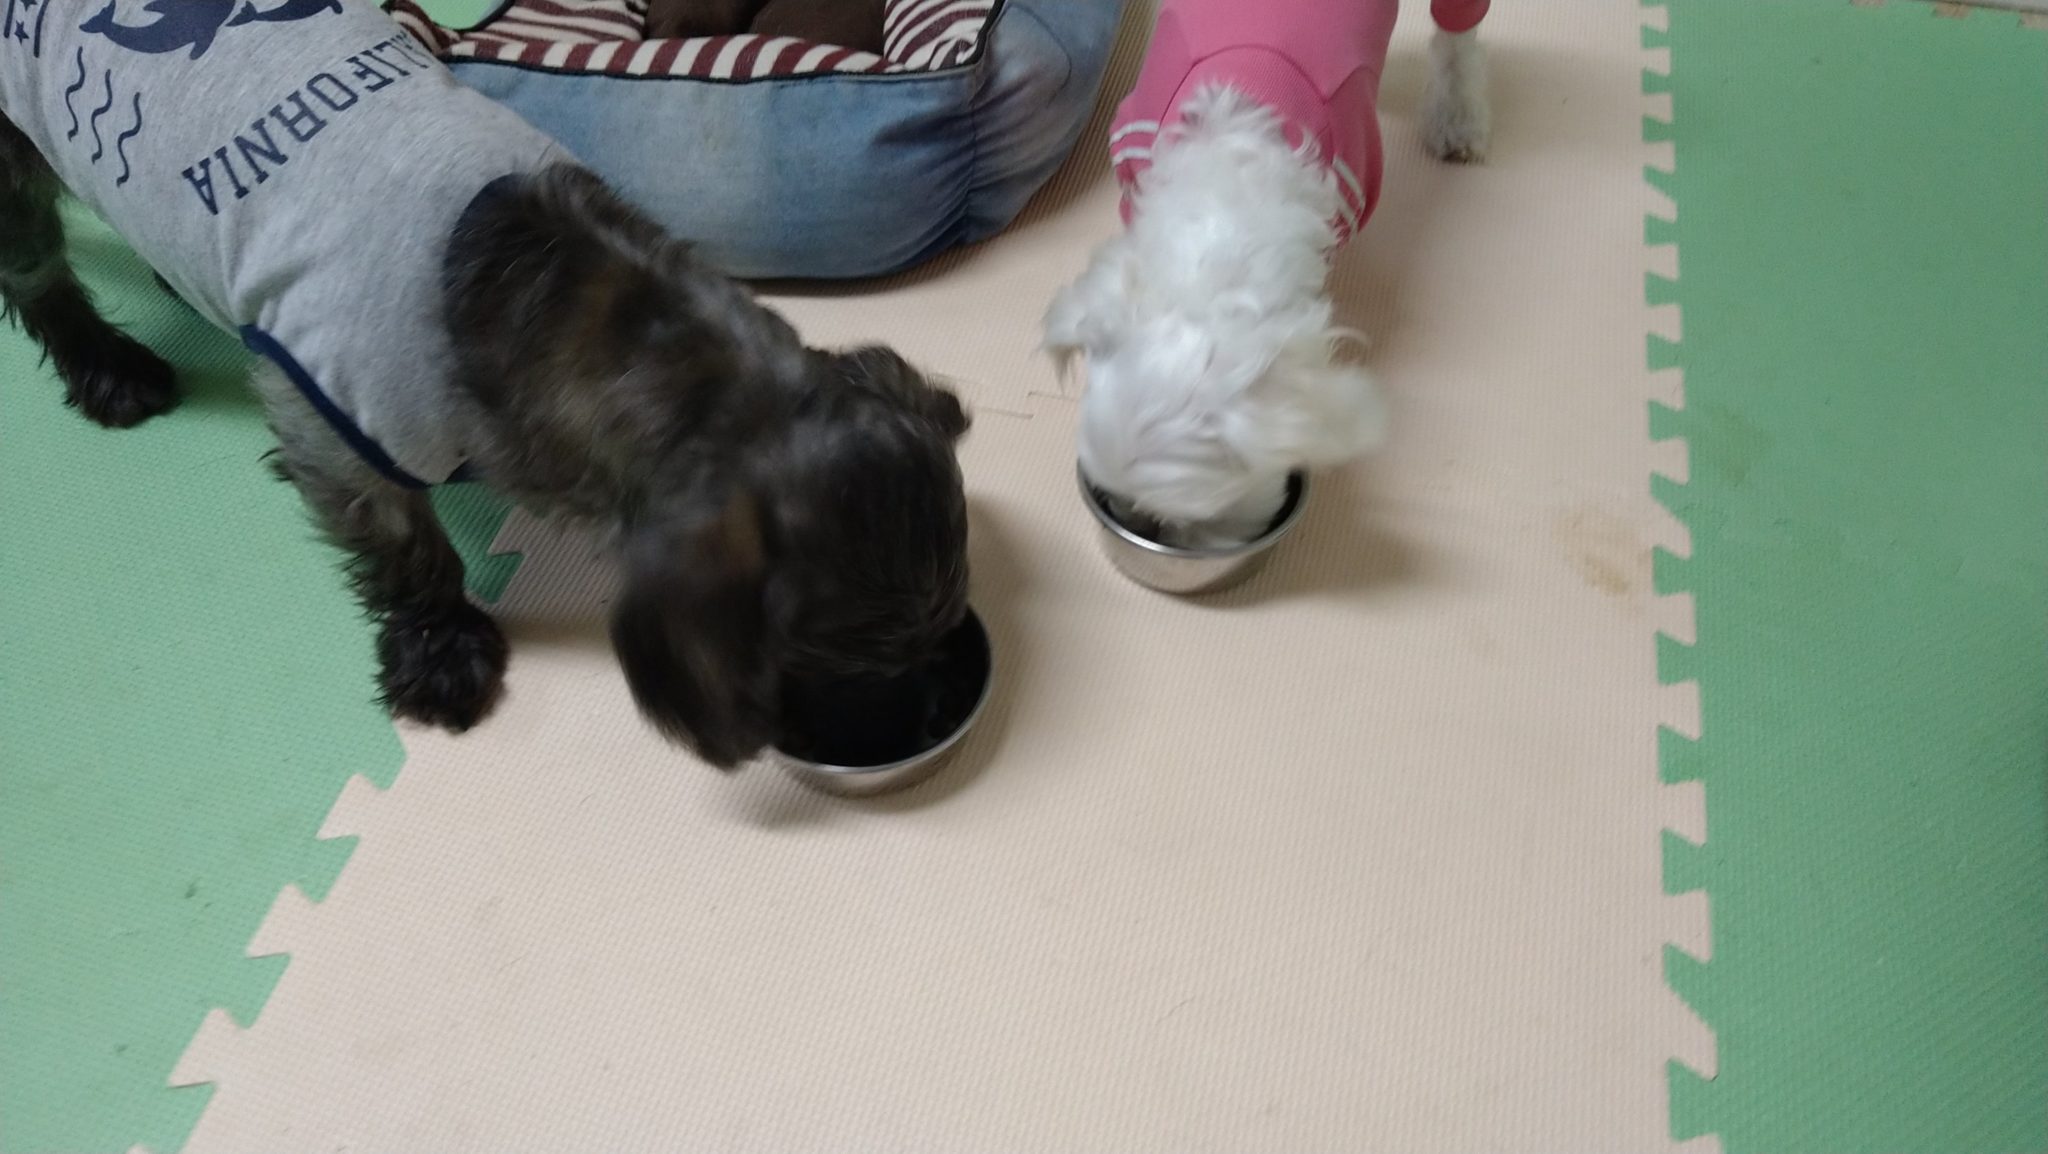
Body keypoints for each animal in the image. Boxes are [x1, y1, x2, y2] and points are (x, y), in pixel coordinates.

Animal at [0, 4, 969, 768]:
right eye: (850, 659)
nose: (927, 721)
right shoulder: (336, 425)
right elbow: (408, 552)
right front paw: (440, 653)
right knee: (36, 277)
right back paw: (108, 369)